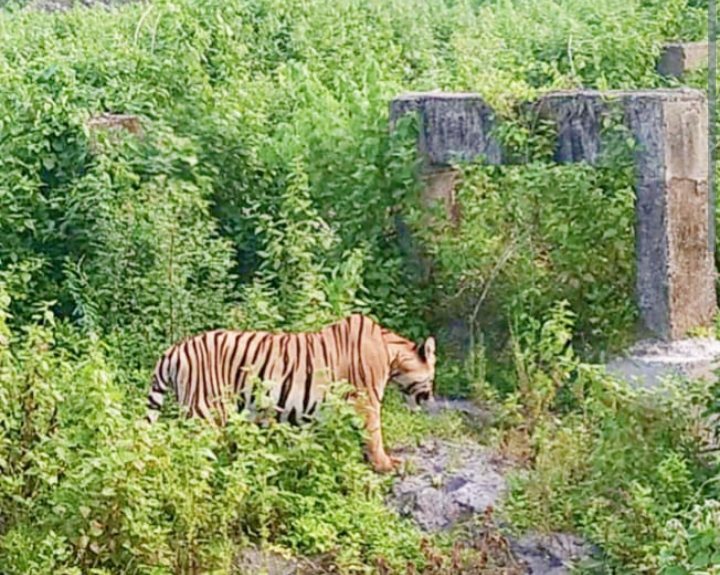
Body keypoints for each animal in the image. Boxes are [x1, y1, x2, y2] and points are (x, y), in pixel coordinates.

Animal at [143, 316, 436, 472]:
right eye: (432, 377)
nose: (432, 399)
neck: (392, 352)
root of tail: (174, 349)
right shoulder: (367, 401)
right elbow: (374, 435)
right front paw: (386, 464)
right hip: (206, 412)